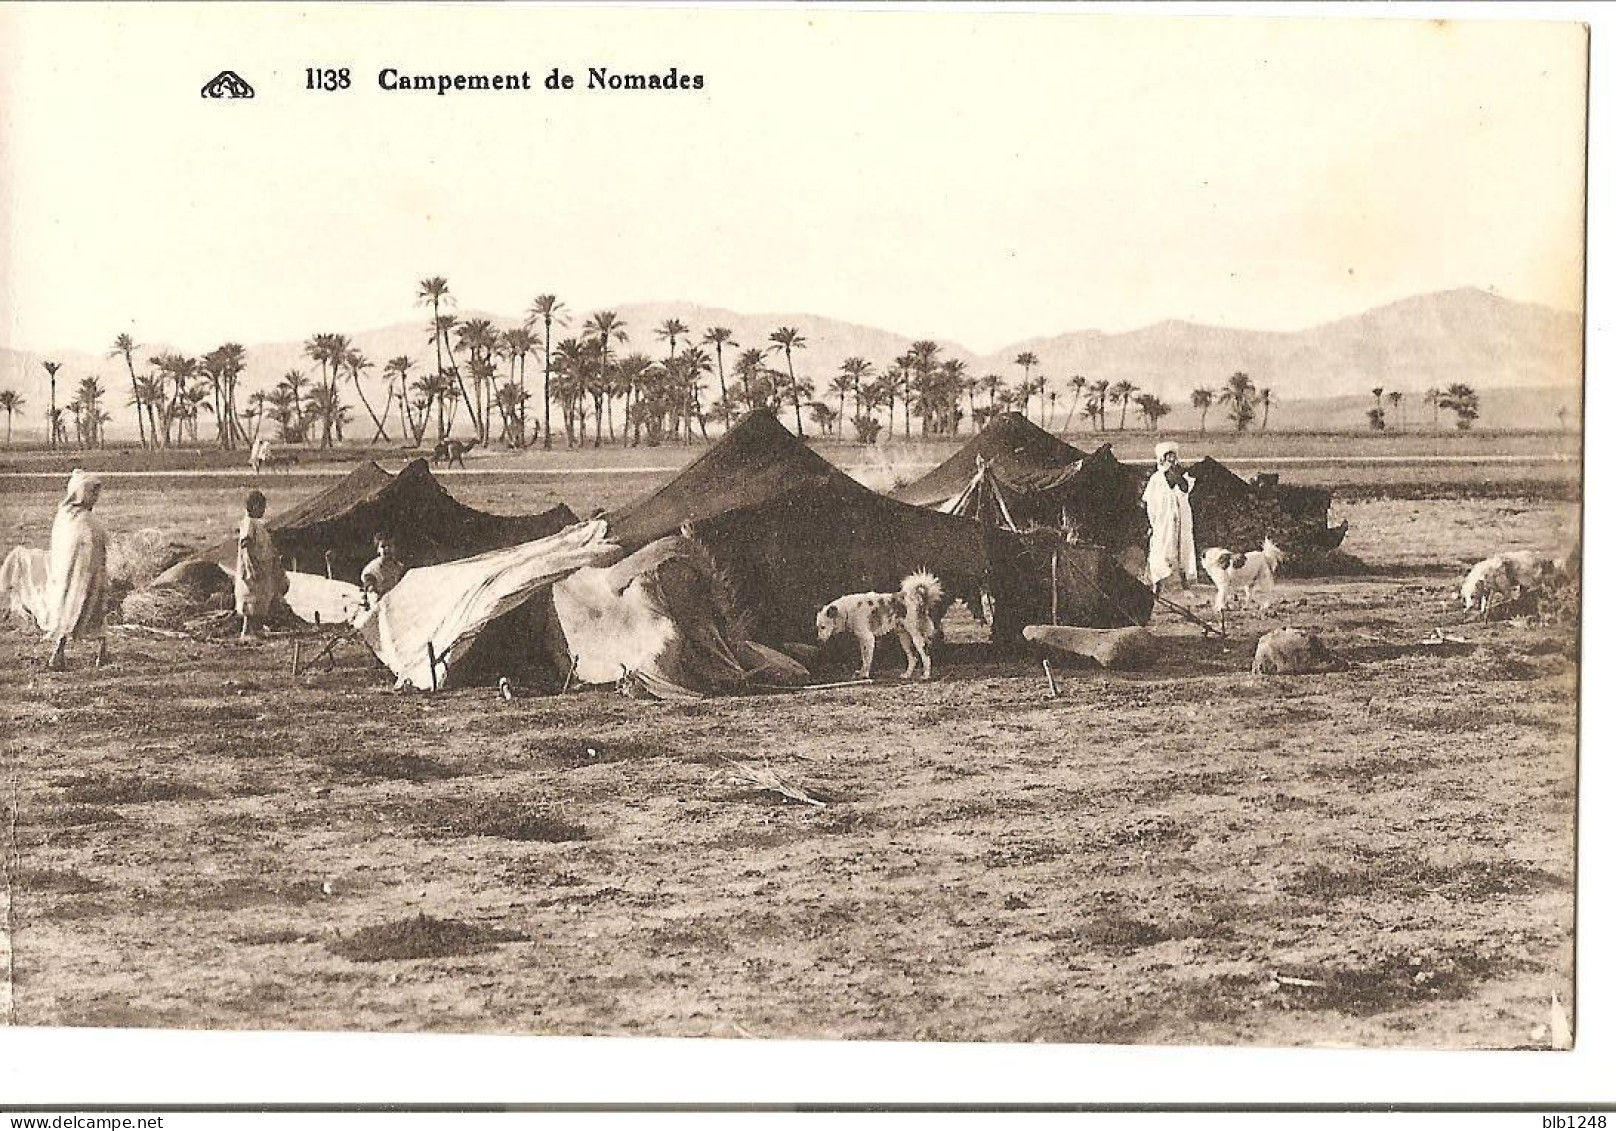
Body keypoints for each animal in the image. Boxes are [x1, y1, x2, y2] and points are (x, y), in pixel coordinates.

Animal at [814, 568, 943, 675]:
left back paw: (926, 675)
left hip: (916, 637)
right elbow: (864, 658)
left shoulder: (869, 638)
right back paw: (907, 675)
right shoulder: (862, 640)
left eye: (823, 627)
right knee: (913, 658)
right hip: (904, 638)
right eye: (818, 627)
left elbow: (867, 660)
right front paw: (861, 673)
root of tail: (918, 599)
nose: (818, 641)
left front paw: (865, 675)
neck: (847, 610)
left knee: (926, 656)